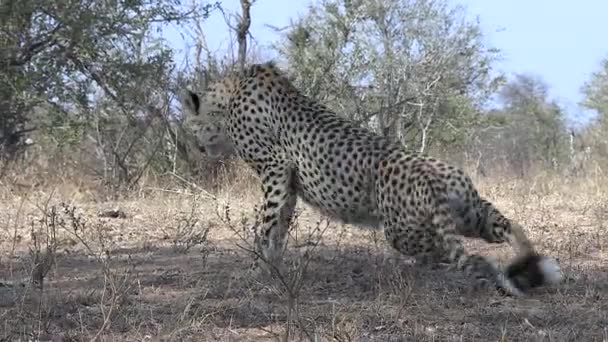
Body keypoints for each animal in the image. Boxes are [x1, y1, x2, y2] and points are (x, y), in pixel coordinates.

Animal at [180, 61, 560, 296]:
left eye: (189, 125)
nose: (196, 147)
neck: (230, 94)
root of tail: (435, 175)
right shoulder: (288, 182)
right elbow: (281, 224)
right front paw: (273, 266)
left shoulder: (275, 168)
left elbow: (268, 224)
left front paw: (257, 269)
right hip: (469, 216)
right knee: (507, 226)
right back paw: (529, 271)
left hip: (405, 232)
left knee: (456, 256)